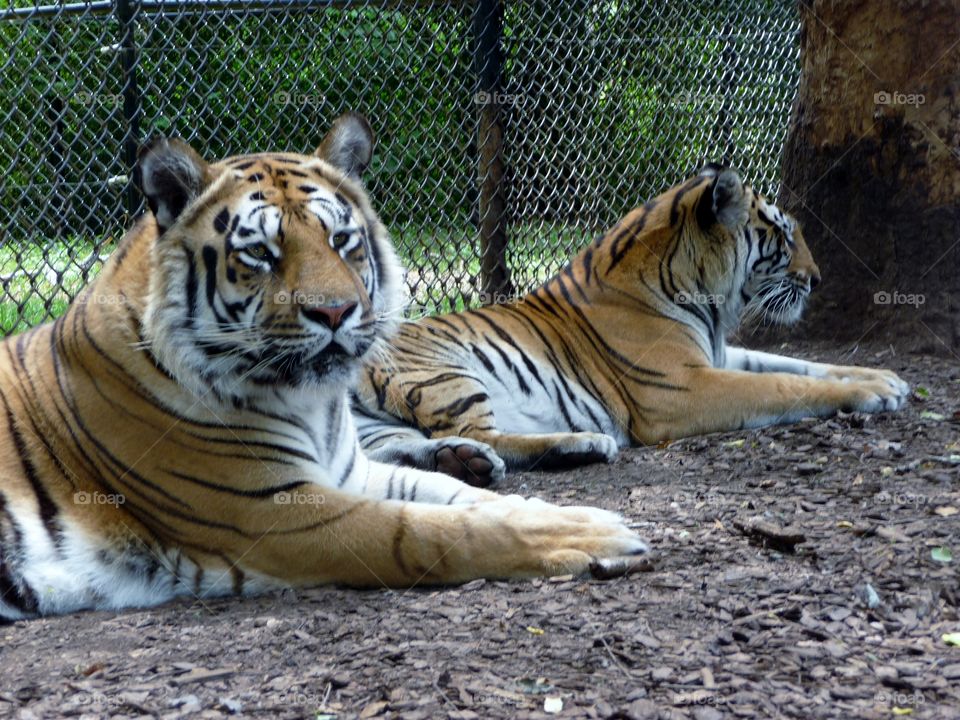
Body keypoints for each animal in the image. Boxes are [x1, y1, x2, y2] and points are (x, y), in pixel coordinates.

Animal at [0, 112, 648, 620]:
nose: (336, 312)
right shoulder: (277, 512)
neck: (309, 402)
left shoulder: (348, 475)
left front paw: (557, 510)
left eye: (341, 239)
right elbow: (429, 530)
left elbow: (466, 500)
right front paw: (597, 534)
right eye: (260, 253)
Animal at [353, 164, 910, 482]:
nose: (816, 279)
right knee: (488, 436)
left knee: (389, 453)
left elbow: (797, 365)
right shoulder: (680, 387)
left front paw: (886, 379)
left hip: (376, 423)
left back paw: (459, 460)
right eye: (784, 235)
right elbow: (781, 386)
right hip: (449, 375)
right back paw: (581, 444)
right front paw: (871, 394)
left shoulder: (719, 355)